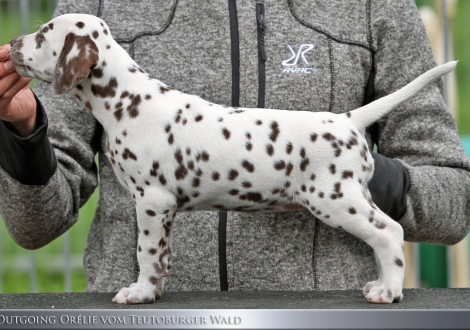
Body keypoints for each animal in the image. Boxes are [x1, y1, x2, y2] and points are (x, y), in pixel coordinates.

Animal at [7, 14, 456, 304]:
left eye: (44, 33)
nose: (11, 45)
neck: (128, 100)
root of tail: (346, 120)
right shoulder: (164, 208)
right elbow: (161, 255)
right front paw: (155, 289)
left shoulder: (152, 200)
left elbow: (146, 251)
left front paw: (140, 291)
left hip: (335, 200)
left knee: (389, 233)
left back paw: (388, 290)